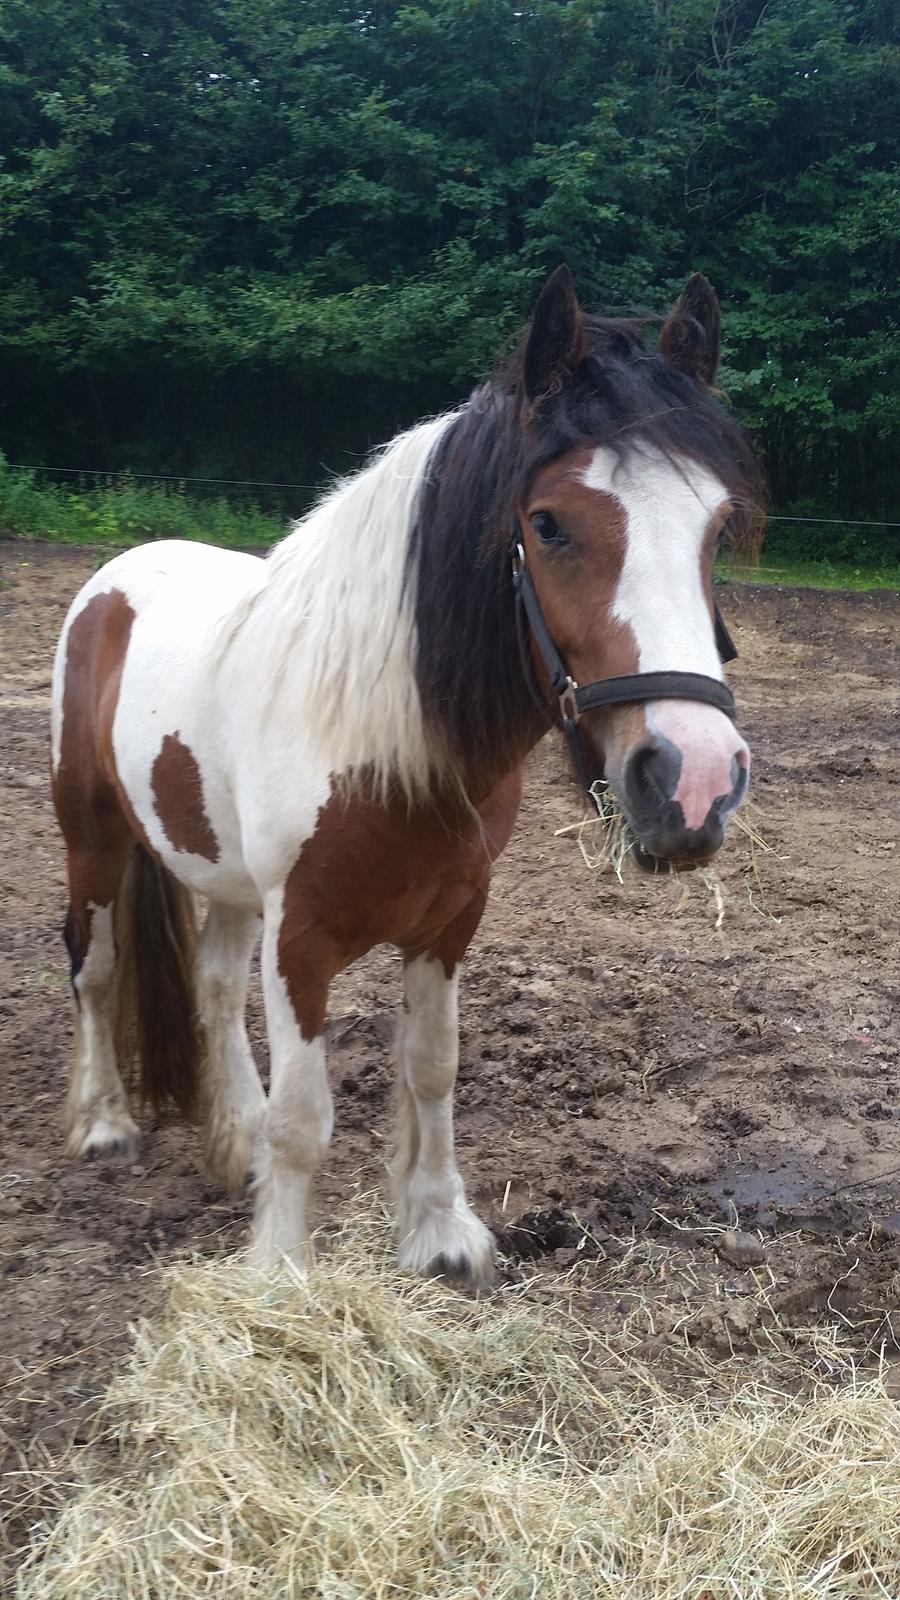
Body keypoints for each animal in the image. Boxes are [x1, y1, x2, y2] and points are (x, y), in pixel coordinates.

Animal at [50, 268, 755, 1280]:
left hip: (219, 867)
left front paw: (438, 1231)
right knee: (97, 964)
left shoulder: (449, 921)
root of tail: (120, 575)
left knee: (214, 985)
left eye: (719, 527)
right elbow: (305, 1118)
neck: (385, 748)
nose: (693, 783)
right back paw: (105, 1122)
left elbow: (433, 1068)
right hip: (95, 835)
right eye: (548, 524)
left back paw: (232, 1140)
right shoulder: (301, 936)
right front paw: (280, 1274)